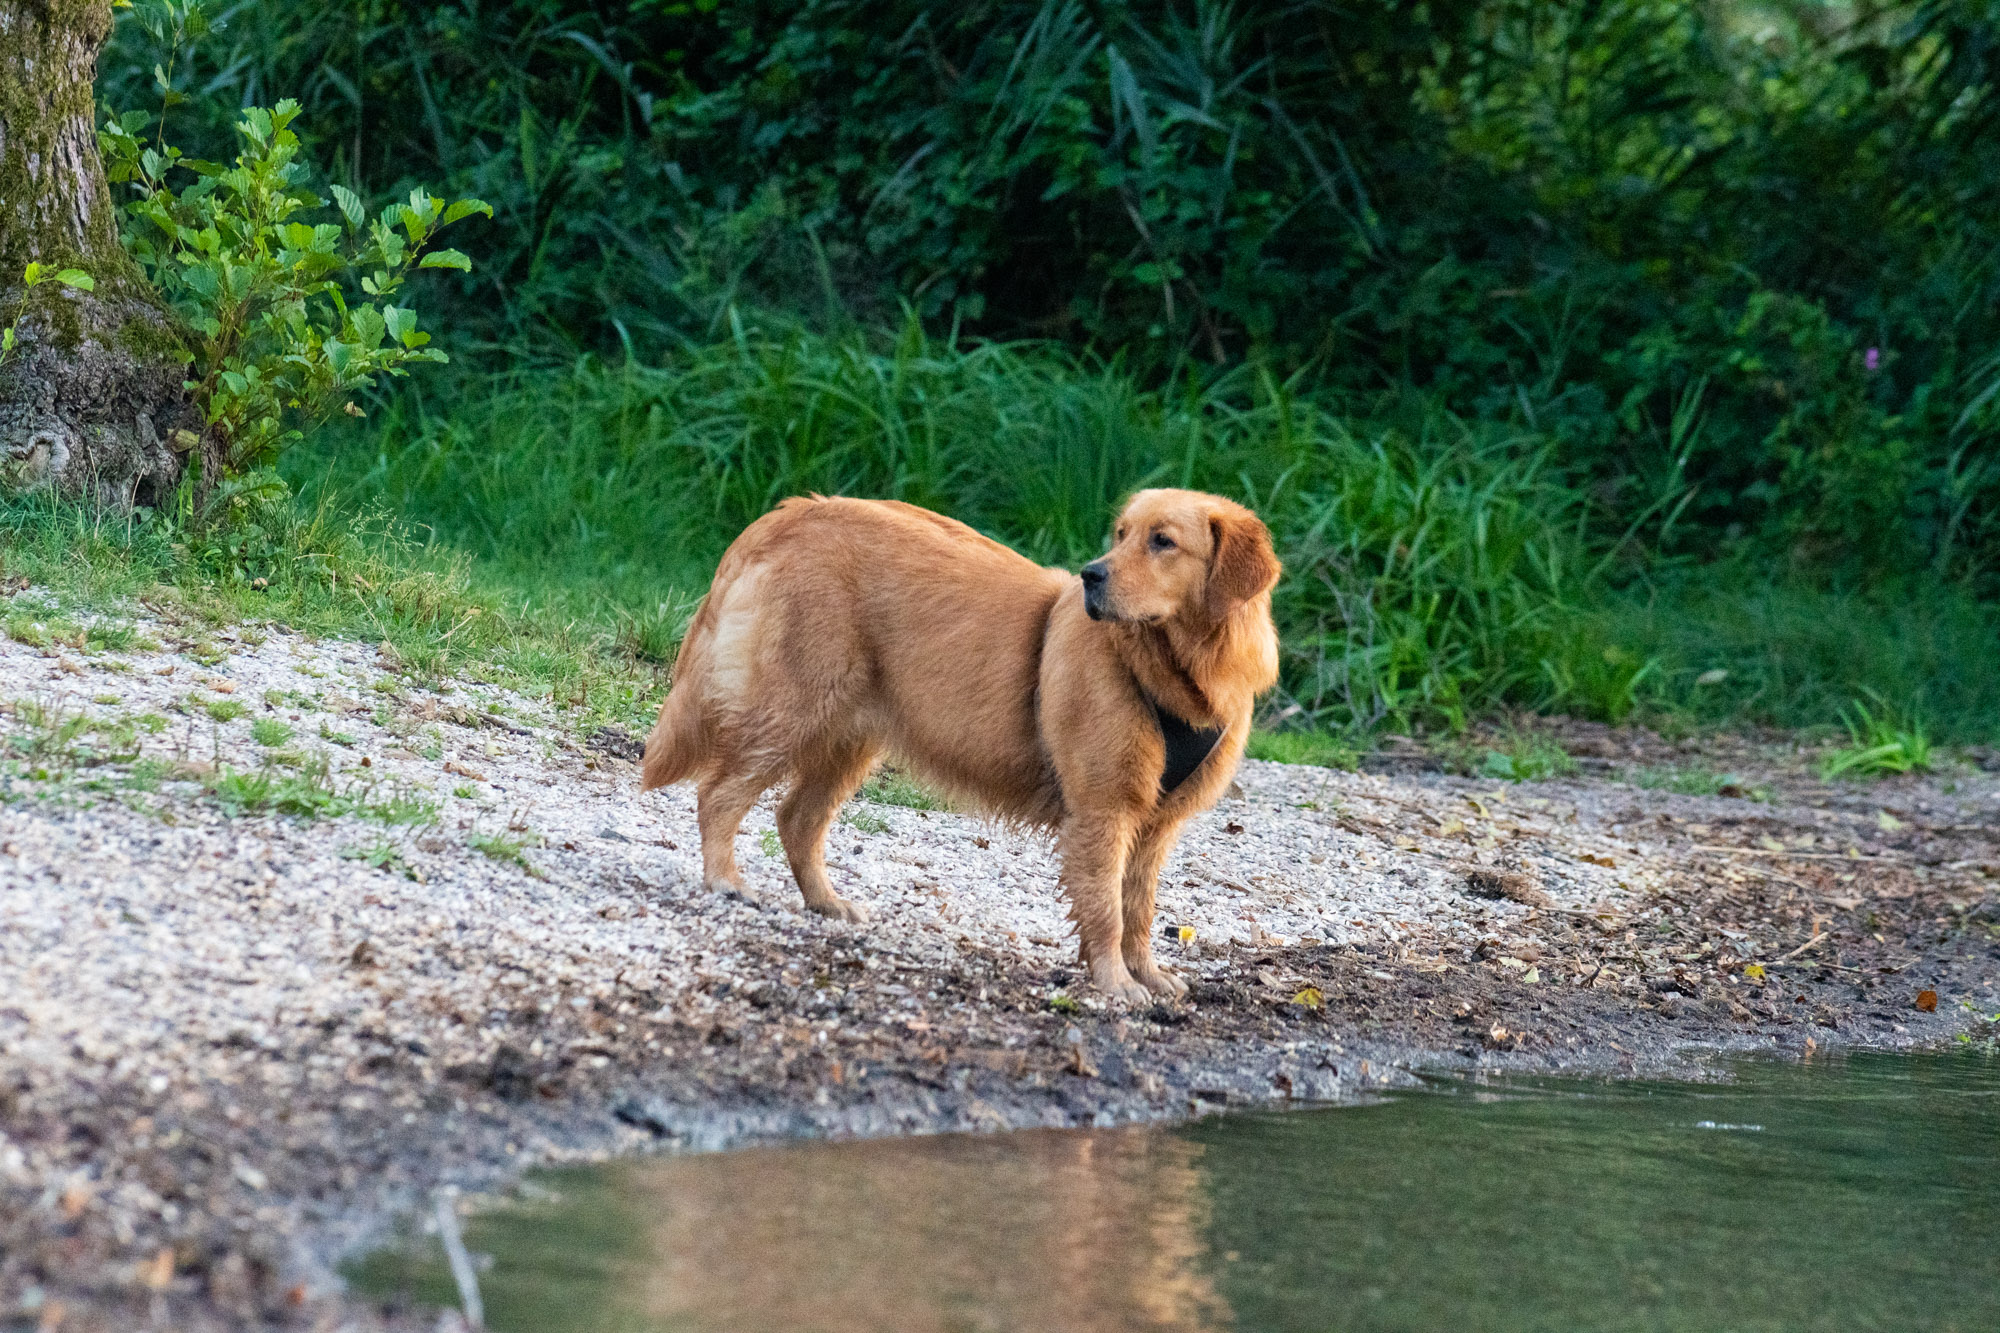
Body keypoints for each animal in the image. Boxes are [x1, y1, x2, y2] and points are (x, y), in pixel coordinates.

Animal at [648, 488, 1288, 996]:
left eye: (1163, 542)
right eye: (1122, 534)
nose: (1091, 574)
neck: (1172, 672)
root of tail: (794, 512)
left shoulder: (1156, 826)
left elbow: (1139, 910)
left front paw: (1147, 974)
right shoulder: (1103, 810)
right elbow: (1106, 908)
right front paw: (1114, 983)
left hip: (850, 737)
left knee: (796, 818)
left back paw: (827, 902)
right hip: (791, 709)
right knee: (719, 793)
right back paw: (726, 881)